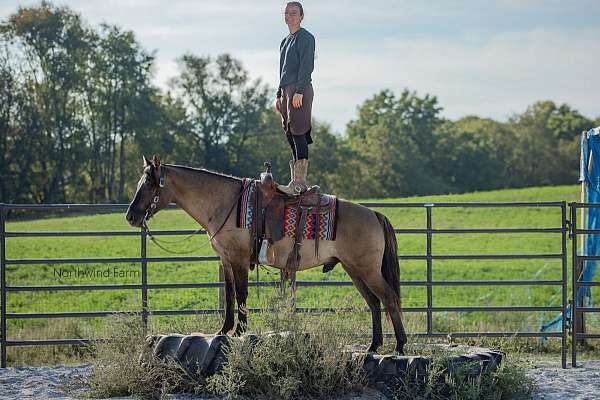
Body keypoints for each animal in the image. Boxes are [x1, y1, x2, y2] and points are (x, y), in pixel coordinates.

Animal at [126, 155, 408, 354]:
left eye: (149, 183)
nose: (130, 216)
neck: (225, 203)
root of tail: (374, 214)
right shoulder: (226, 261)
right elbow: (229, 296)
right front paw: (223, 330)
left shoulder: (239, 260)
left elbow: (241, 295)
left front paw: (240, 332)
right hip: (355, 270)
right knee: (374, 303)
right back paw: (373, 346)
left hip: (367, 271)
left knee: (389, 298)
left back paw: (399, 346)